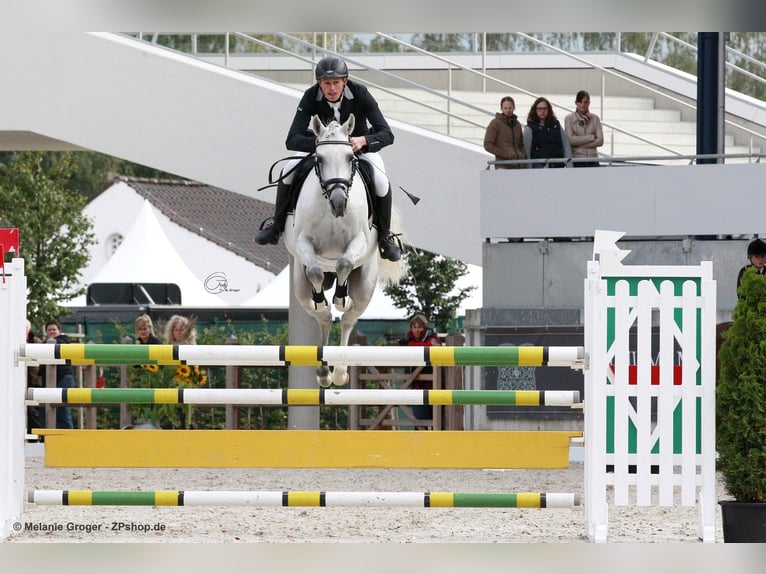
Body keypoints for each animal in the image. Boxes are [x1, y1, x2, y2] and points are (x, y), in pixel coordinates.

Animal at [283, 114, 407, 387]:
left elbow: (343, 264)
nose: (339, 204)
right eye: (319, 159)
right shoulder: (303, 244)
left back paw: (339, 371)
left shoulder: (358, 242)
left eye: (351, 158)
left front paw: (340, 296)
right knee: (324, 317)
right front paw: (323, 297)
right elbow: (316, 272)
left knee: (349, 318)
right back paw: (323, 371)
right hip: (300, 288)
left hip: (365, 285)